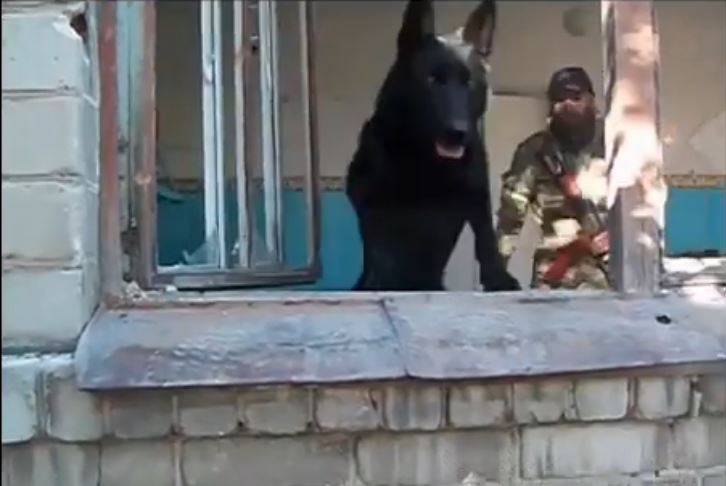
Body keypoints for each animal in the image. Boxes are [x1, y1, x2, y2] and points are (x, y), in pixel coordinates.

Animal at [345, 0, 521, 292]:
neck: (428, 159)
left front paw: (498, 277)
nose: (458, 132)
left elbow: (485, 236)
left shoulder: (476, 192)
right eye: (432, 80)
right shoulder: (370, 199)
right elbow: (381, 246)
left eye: (469, 82)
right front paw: (382, 280)